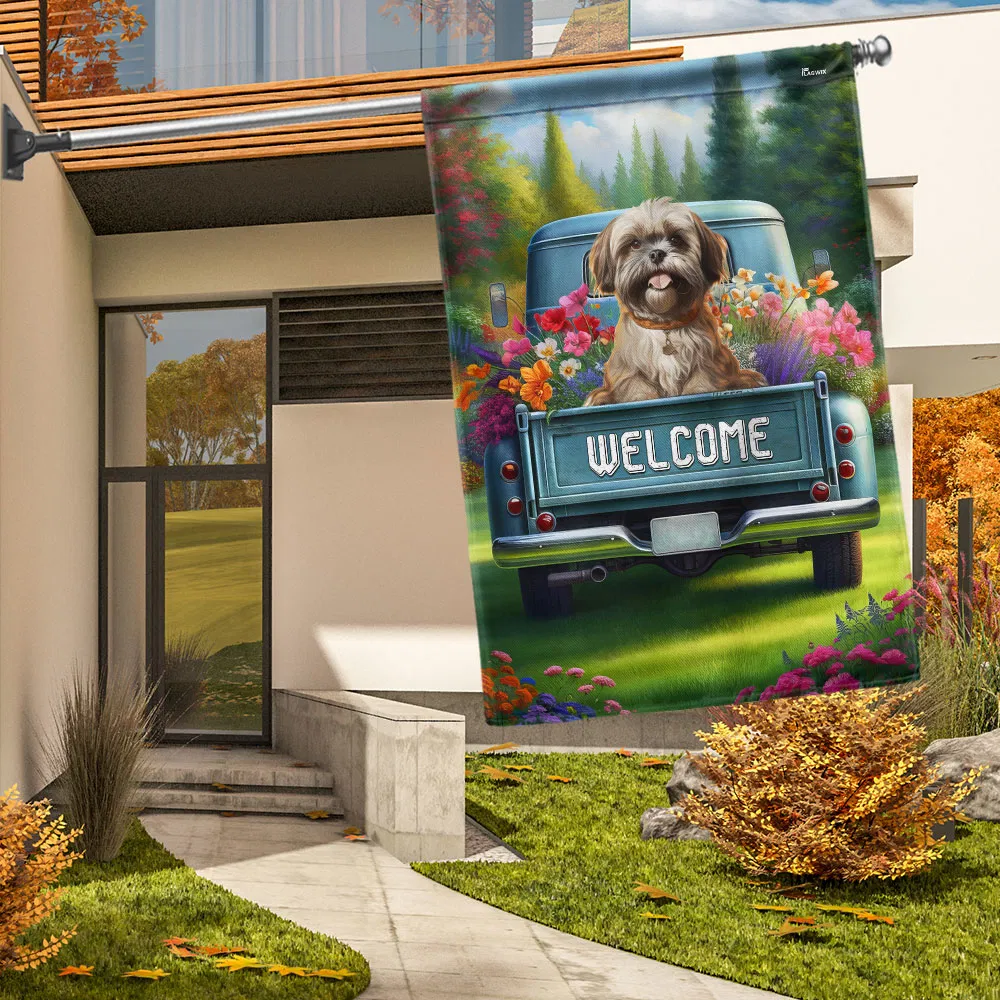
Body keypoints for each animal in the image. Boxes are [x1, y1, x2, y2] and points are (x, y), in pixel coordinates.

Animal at [580, 197, 764, 404]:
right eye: (634, 244)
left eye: (676, 239)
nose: (656, 253)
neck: (665, 325)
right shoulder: (629, 373)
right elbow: (638, 391)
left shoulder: (708, 365)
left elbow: (700, 385)